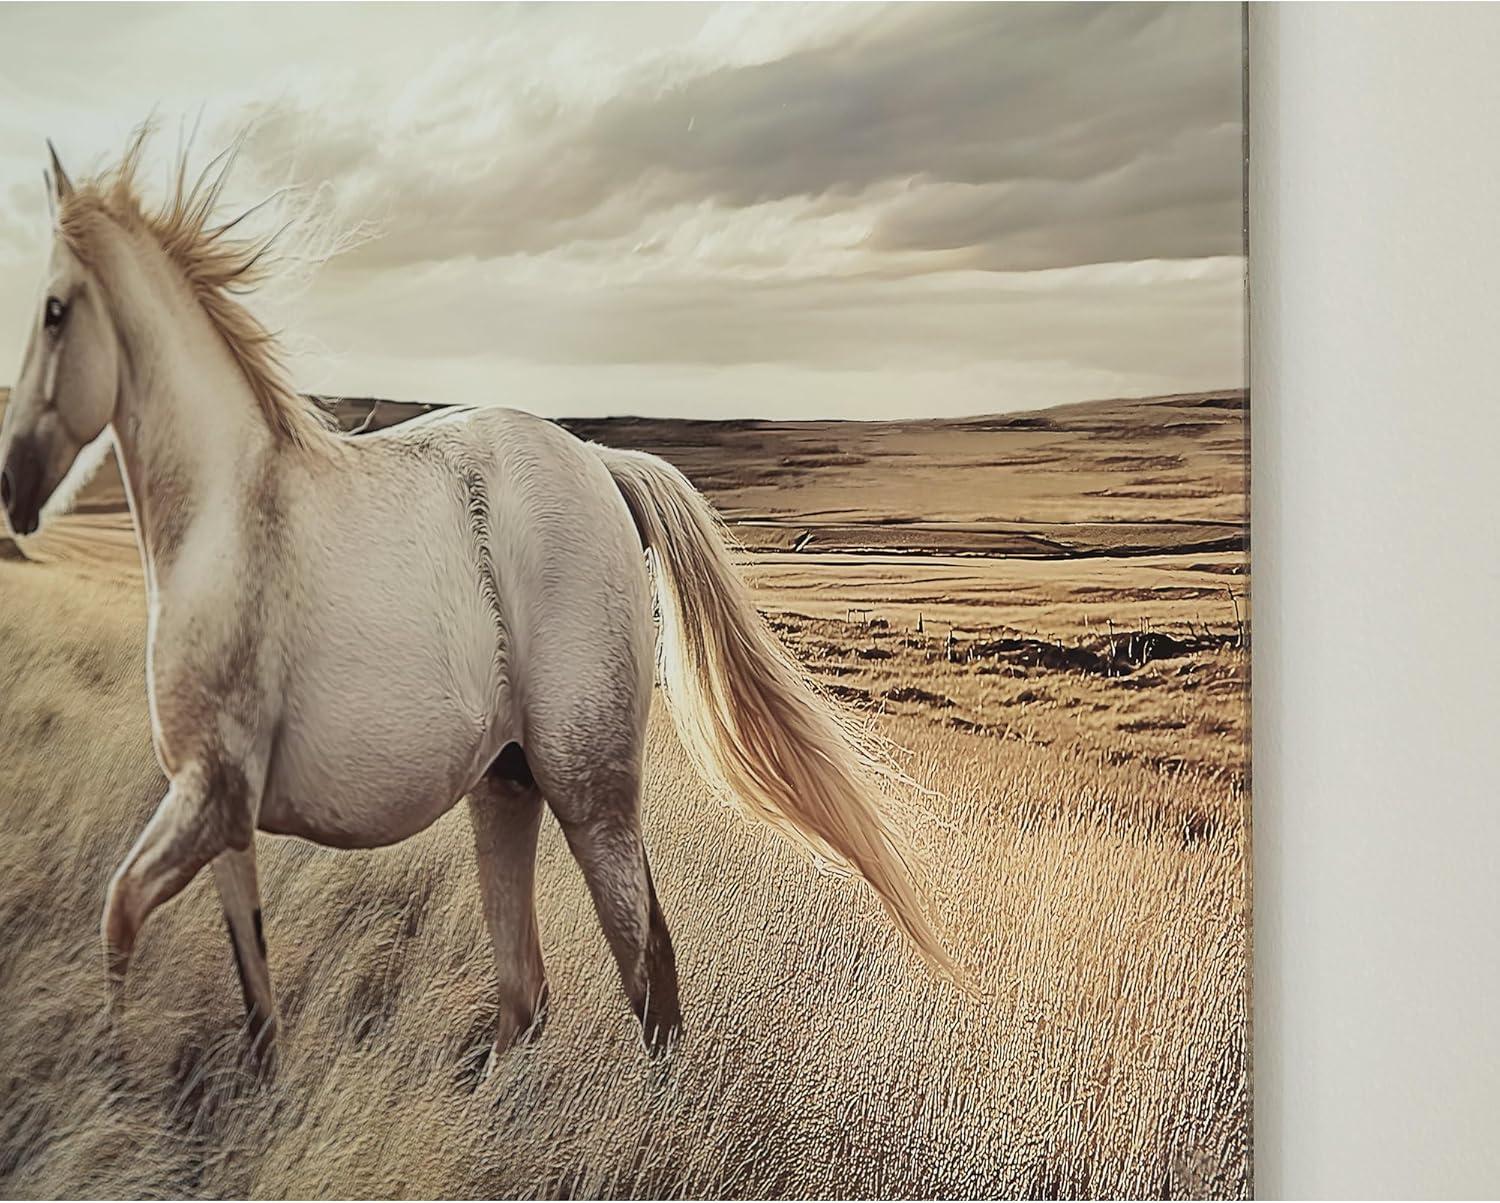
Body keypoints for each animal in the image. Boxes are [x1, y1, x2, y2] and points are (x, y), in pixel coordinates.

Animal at [0, 131, 957, 1066]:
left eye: (52, 310)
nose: (12, 488)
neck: (227, 518)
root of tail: (602, 466)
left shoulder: (210, 793)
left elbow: (120, 914)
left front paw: (111, 1070)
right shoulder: (224, 814)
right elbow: (255, 998)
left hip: (588, 788)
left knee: (648, 973)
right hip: (506, 784)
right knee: (525, 992)